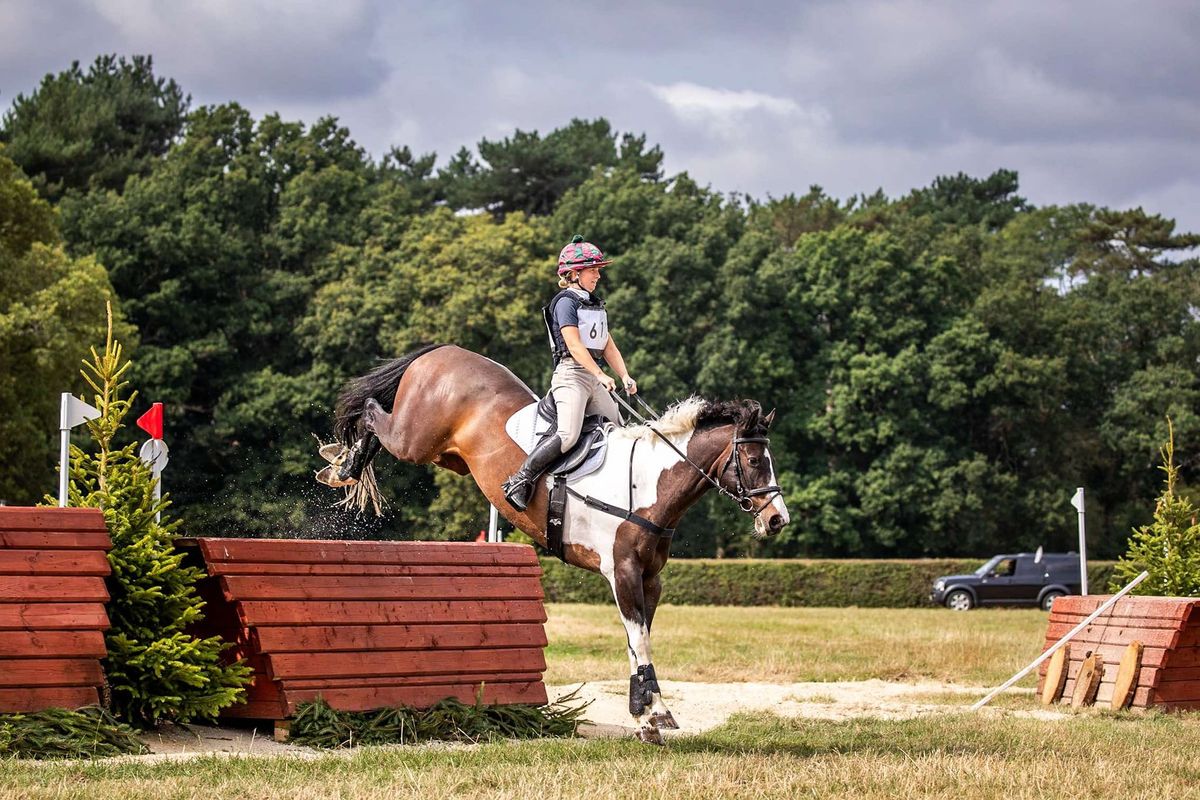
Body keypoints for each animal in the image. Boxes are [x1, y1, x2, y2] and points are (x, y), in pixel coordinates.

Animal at [316, 345, 787, 743]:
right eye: (753, 461)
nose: (777, 520)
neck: (649, 483)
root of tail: (441, 350)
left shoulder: (650, 578)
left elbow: (637, 640)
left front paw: (643, 715)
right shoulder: (622, 572)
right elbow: (640, 640)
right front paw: (655, 713)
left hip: (444, 455)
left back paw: (342, 464)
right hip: (415, 438)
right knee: (374, 415)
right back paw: (343, 465)